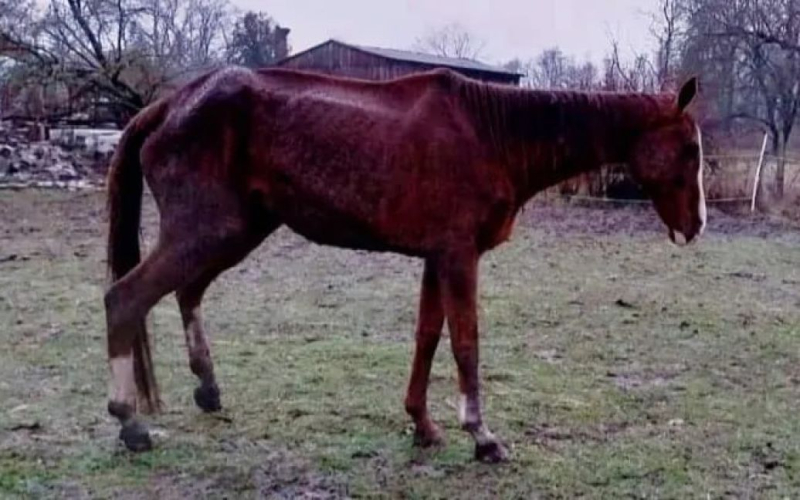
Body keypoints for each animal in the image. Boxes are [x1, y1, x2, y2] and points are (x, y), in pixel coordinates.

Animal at [101, 65, 708, 460]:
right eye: (690, 150)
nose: (697, 224)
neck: (491, 134)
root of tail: (171, 104)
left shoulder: (436, 257)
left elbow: (428, 336)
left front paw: (423, 424)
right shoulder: (458, 256)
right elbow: (465, 342)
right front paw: (481, 436)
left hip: (235, 231)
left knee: (187, 292)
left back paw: (207, 390)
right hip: (207, 231)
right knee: (125, 299)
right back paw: (130, 422)